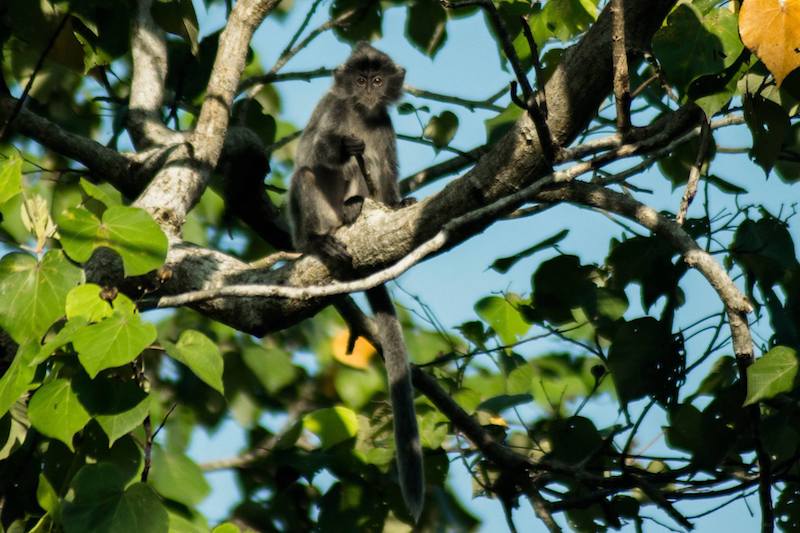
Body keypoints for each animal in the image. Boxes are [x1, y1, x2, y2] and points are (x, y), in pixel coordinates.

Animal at [288, 41, 424, 520]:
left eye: (378, 80)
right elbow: (313, 152)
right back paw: (320, 241)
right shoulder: (331, 109)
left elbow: (385, 178)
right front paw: (342, 146)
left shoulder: (382, 125)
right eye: (360, 79)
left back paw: (356, 210)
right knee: (306, 174)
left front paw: (399, 202)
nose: (368, 91)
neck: (360, 115)